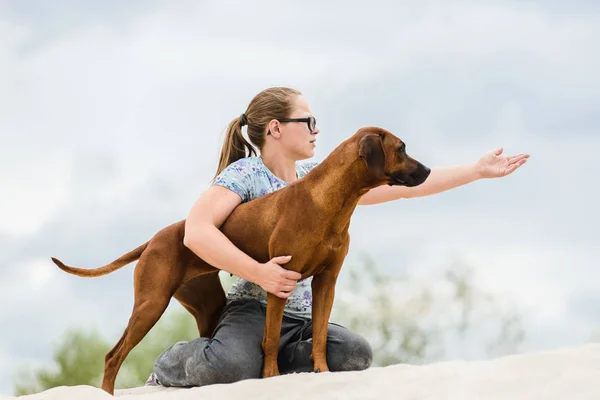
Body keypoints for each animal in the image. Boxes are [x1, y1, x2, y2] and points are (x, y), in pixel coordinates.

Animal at [50, 127, 426, 394]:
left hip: (205, 305)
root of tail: (154, 239)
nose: (427, 170)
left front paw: (321, 371)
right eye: (402, 148)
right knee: (114, 355)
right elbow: (270, 339)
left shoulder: (326, 282)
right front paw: (271, 377)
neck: (329, 202)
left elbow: (319, 334)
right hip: (150, 302)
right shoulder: (280, 280)